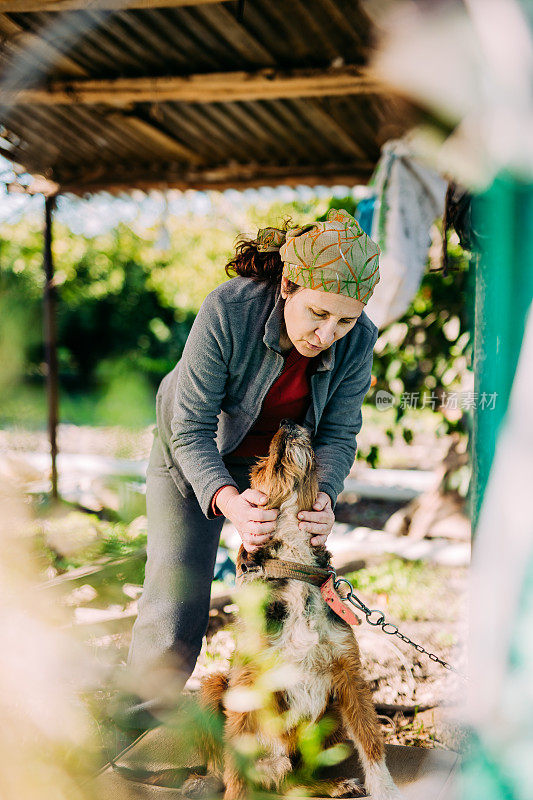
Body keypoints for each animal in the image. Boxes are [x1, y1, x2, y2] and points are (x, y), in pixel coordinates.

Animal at [191, 422, 400, 796]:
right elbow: (235, 766)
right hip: (214, 683)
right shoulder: (247, 680)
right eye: (260, 466)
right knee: (235, 770)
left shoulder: (350, 675)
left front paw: (385, 790)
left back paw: (332, 785)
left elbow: (371, 740)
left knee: (295, 779)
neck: (296, 570)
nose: (289, 423)